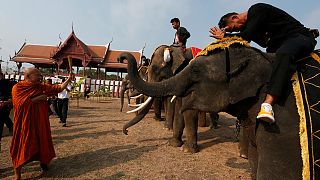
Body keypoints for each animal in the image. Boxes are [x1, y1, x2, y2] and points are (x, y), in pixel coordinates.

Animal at [120, 40, 318, 179]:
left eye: (155, 68)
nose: (126, 132)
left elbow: (187, 109)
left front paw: (186, 150)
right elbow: (181, 106)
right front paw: (174, 144)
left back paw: (240, 152)